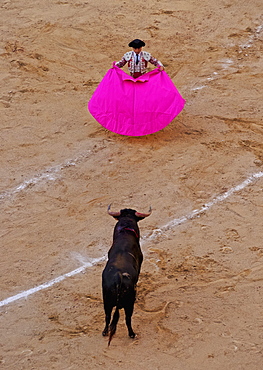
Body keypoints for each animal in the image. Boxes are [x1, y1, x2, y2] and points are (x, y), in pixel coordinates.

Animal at [103, 207, 153, 346]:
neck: (125, 232)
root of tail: (119, 278)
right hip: (129, 303)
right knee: (127, 318)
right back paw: (132, 334)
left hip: (106, 301)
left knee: (107, 316)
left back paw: (105, 332)